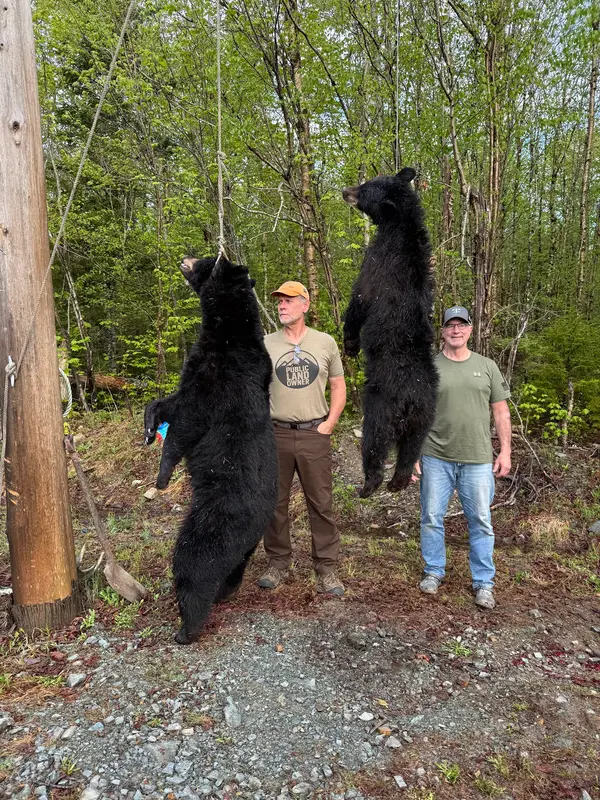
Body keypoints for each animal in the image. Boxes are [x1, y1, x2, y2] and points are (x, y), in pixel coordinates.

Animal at [144, 255, 278, 644]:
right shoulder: (198, 369)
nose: (185, 258)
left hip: (211, 527)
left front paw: (162, 475)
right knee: (232, 572)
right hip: (243, 551)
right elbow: (169, 402)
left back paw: (186, 628)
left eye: (204, 262)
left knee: (193, 567)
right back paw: (224, 593)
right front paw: (149, 427)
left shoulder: (219, 378)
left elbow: (187, 423)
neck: (227, 330)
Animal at [342, 167, 438, 498]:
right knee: (410, 451)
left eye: (364, 190)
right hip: (424, 420)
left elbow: (358, 300)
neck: (401, 228)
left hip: (379, 409)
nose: (344, 191)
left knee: (374, 445)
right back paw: (398, 481)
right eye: (366, 181)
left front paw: (349, 343)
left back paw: (369, 485)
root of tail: (411, 398)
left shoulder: (375, 265)